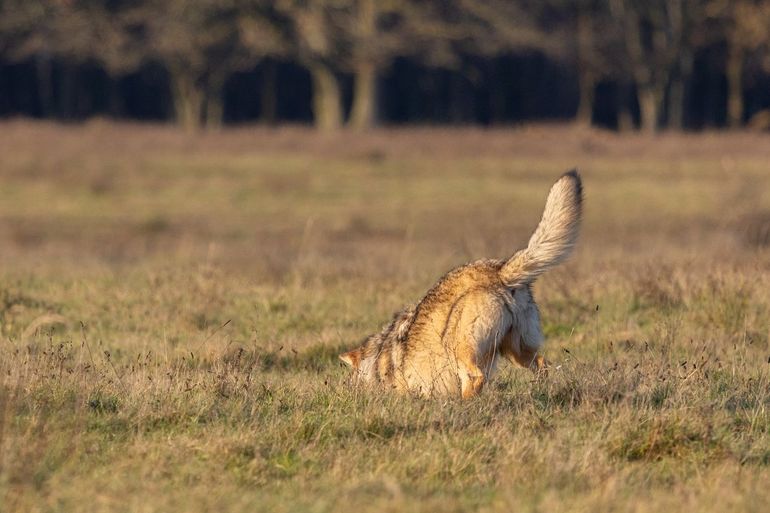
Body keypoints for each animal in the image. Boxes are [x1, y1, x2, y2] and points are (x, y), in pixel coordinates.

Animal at [340, 170, 583, 398]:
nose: (348, 393)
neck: (379, 360)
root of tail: (500, 272)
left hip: (460, 347)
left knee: (475, 377)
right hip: (516, 351)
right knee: (543, 364)